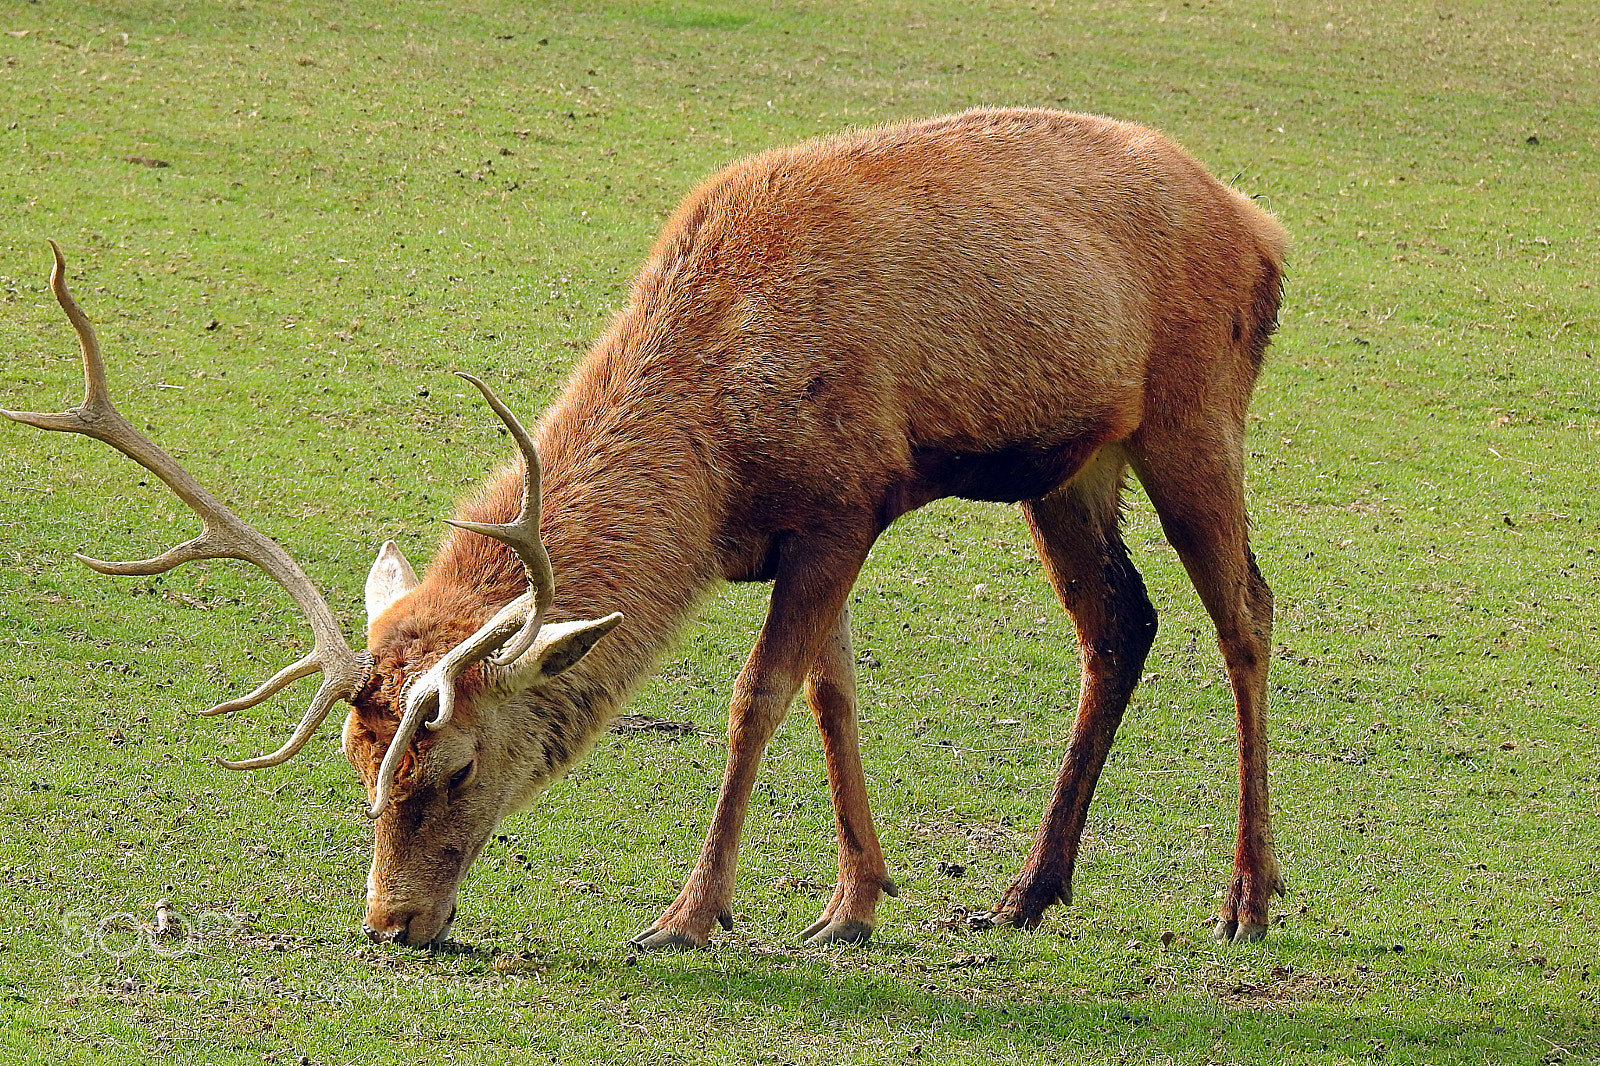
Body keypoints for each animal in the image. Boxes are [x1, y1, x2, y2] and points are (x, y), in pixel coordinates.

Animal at [7, 108, 1288, 951]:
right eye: (361, 765)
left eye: (455, 763)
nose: (390, 920)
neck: (714, 458)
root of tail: (1266, 231)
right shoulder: (814, 531)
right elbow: (833, 694)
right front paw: (853, 903)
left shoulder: (846, 499)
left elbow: (757, 699)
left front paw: (688, 913)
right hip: (1068, 466)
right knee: (1118, 625)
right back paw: (1028, 890)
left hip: (1194, 412)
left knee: (1246, 613)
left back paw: (1246, 898)